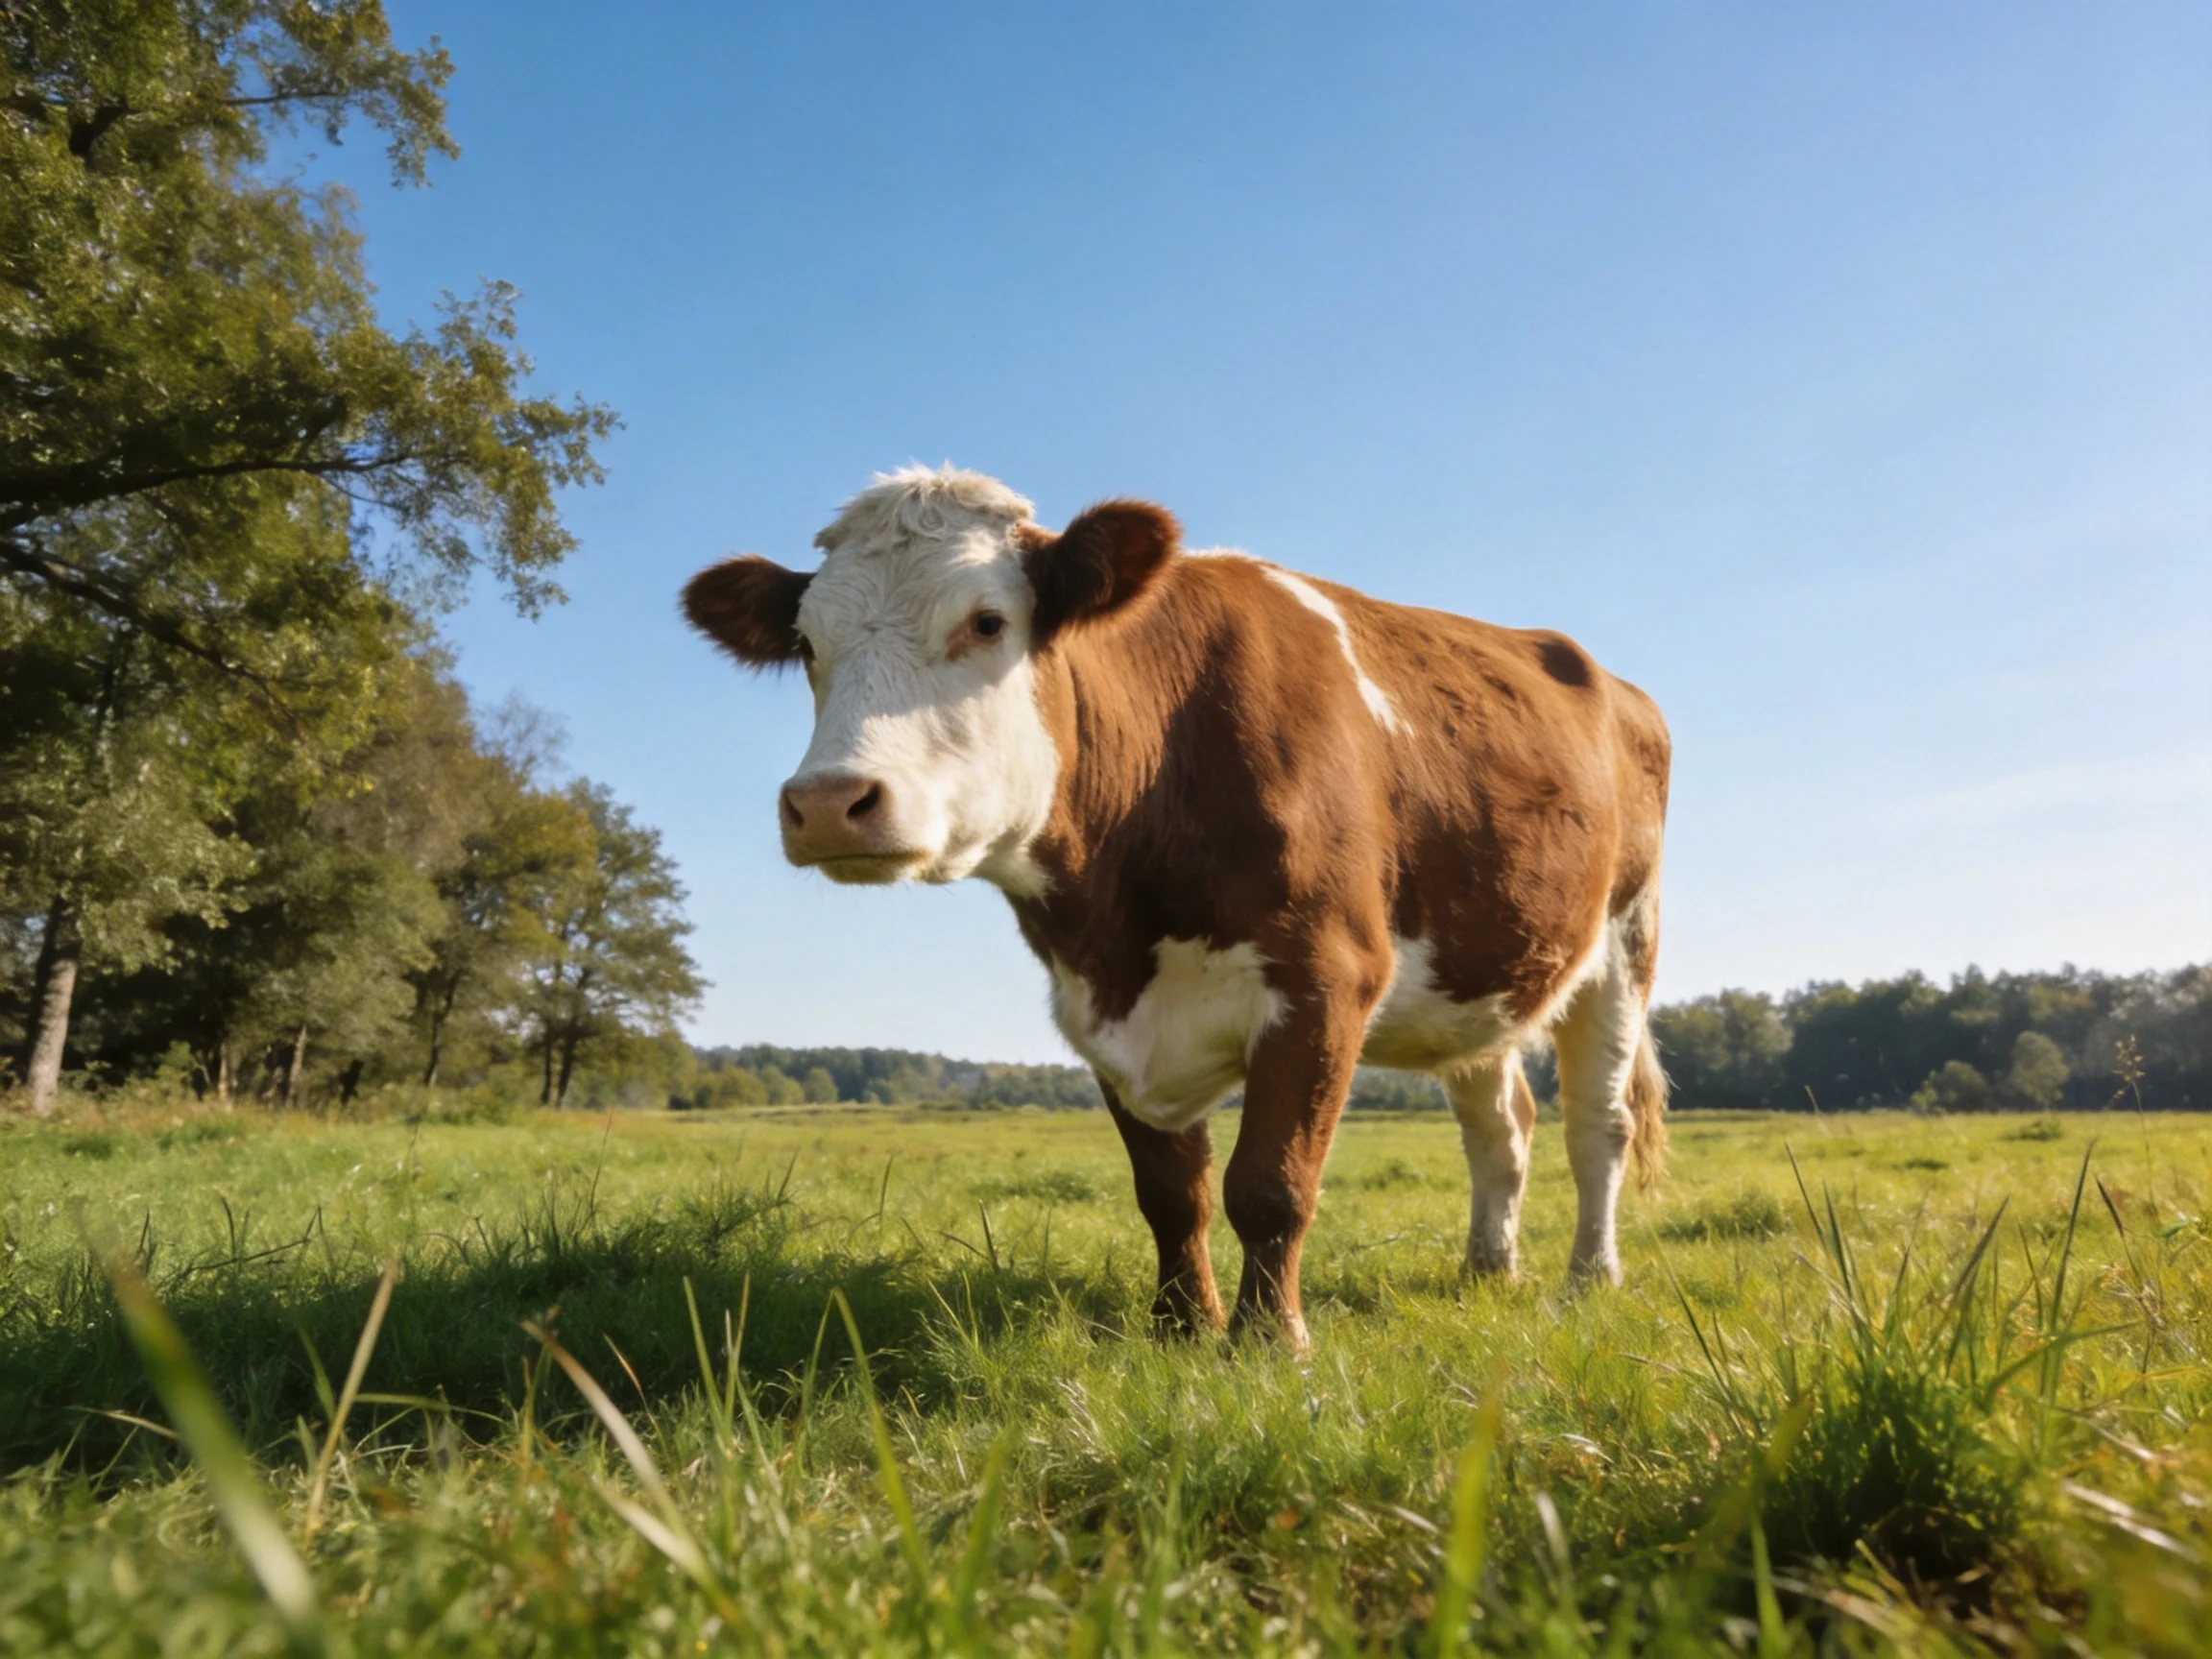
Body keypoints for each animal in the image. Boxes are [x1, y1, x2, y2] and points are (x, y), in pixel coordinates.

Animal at [683, 466, 1671, 1350]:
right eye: (808, 645)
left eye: (987, 621)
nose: (827, 802)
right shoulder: (1101, 1003)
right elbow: (1171, 1193)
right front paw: (1182, 1329)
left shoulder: (1326, 977)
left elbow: (1269, 1183)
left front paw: (1270, 1343)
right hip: (1478, 972)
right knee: (1501, 1127)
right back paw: (1487, 1272)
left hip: (1625, 943)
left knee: (1600, 1126)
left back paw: (1590, 1279)